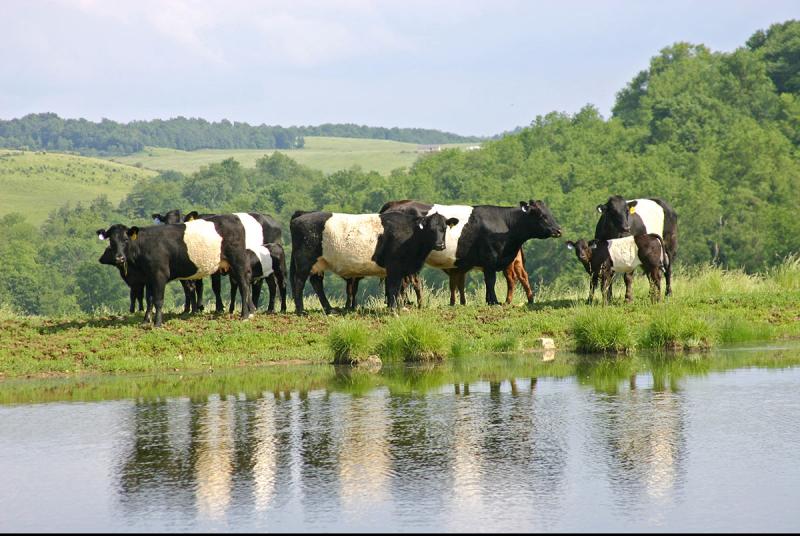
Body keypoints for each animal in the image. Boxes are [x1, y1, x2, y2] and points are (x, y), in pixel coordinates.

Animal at [290, 209, 460, 314]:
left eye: (444, 228)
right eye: (430, 229)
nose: (440, 245)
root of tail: (303, 214)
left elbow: (398, 289)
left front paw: (398, 307)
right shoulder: (394, 268)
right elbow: (393, 289)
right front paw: (393, 309)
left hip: (319, 263)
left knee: (317, 283)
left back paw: (329, 309)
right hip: (304, 261)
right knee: (299, 282)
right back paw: (301, 311)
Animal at [376, 199, 560, 304]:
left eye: (550, 212)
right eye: (541, 215)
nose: (558, 230)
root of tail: (394, 204)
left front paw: (490, 301)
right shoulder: (489, 259)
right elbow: (490, 281)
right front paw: (494, 302)